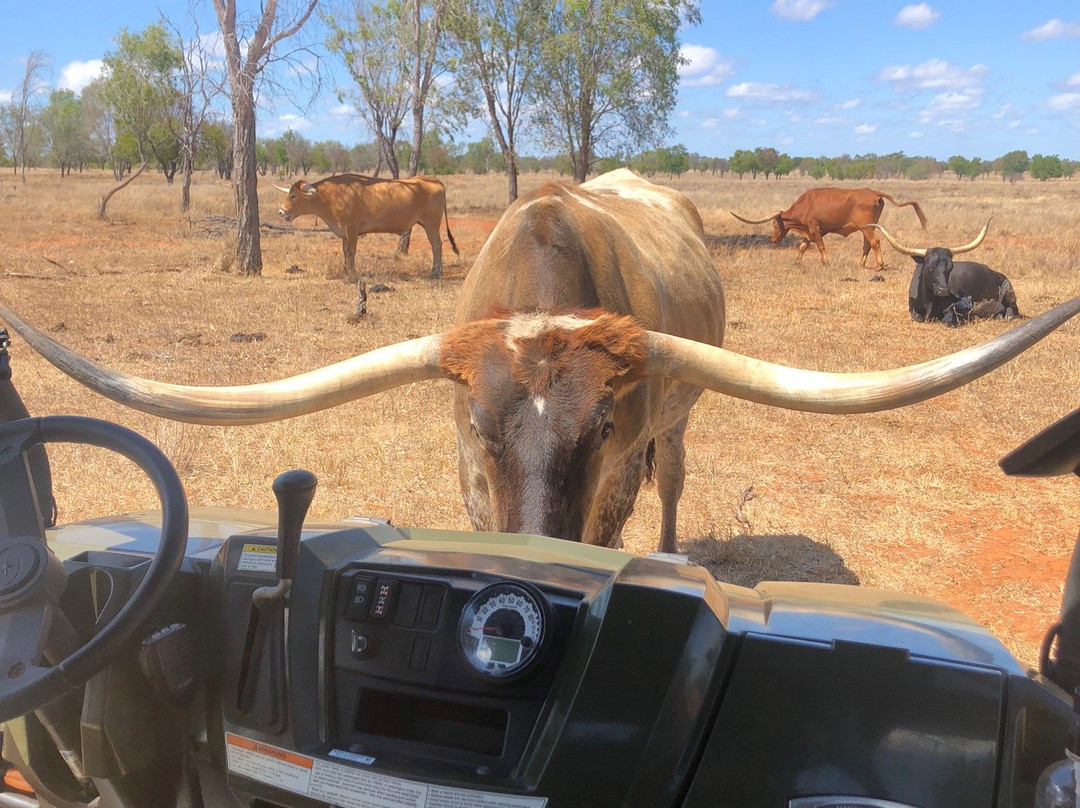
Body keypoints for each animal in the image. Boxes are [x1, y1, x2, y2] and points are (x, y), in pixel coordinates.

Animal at [274, 173, 455, 278]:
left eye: (293, 196)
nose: (281, 212)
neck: (329, 196)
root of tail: (434, 180)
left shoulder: (352, 230)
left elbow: (351, 252)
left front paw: (351, 273)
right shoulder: (344, 233)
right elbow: (345, 252)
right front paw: (345, 271)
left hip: (431, 224)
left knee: (437, 245)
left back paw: (435, 272)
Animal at [730, 185, 933, 267]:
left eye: (774, 224)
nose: (773, 240)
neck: (806, 204)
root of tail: (873, 193)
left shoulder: (814, 229)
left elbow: (820, 246)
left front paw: (825, 261)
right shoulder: (808, 232)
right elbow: (802, 247)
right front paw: (797, 260)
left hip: (867, 228)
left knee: (875, 243)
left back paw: (879, 266)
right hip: (867, 227)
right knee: (867, 245)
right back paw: (861, 264)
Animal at [872, 221, 1015, 324]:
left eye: (951, 268)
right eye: (929, 268)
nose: (943, 290)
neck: (929, 301)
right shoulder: (913, 310)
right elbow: (917, 317)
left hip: (1009, 291)